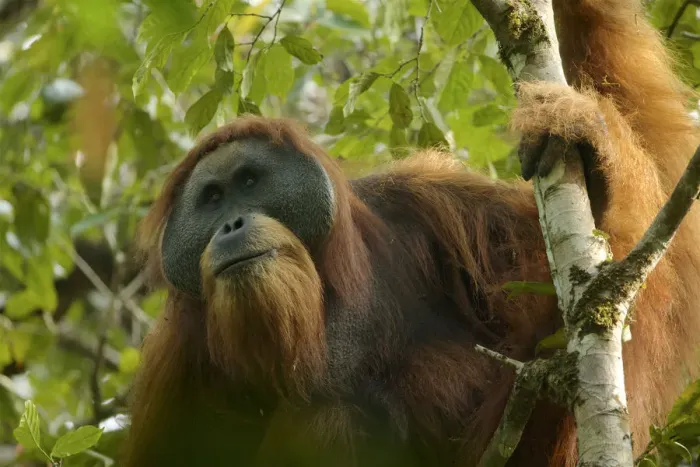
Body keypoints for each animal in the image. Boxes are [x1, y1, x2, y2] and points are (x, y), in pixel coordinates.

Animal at [123, 0, 700, 466]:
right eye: (212, 199)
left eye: (249, 182)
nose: (231, 223)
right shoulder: (175, 363)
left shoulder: (431, 202)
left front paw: (595, 160)